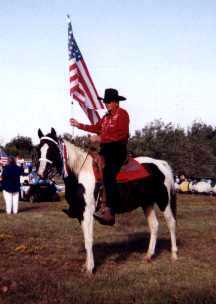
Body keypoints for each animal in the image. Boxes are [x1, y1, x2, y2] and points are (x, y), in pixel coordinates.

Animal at [35, 128, 177, 274]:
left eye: (52, 149)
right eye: (38, 149)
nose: (41, 173)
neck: (80, 173)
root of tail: (162, 164)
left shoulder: (88, 211)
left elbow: (89, 239)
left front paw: (90, 268)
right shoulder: (80, 213)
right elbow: (85, 237)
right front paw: (86, 265)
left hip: (164, 201)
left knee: (171, 223)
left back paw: (174, 255)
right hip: (146, 203)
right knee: (154, 225)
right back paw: (149, 255)